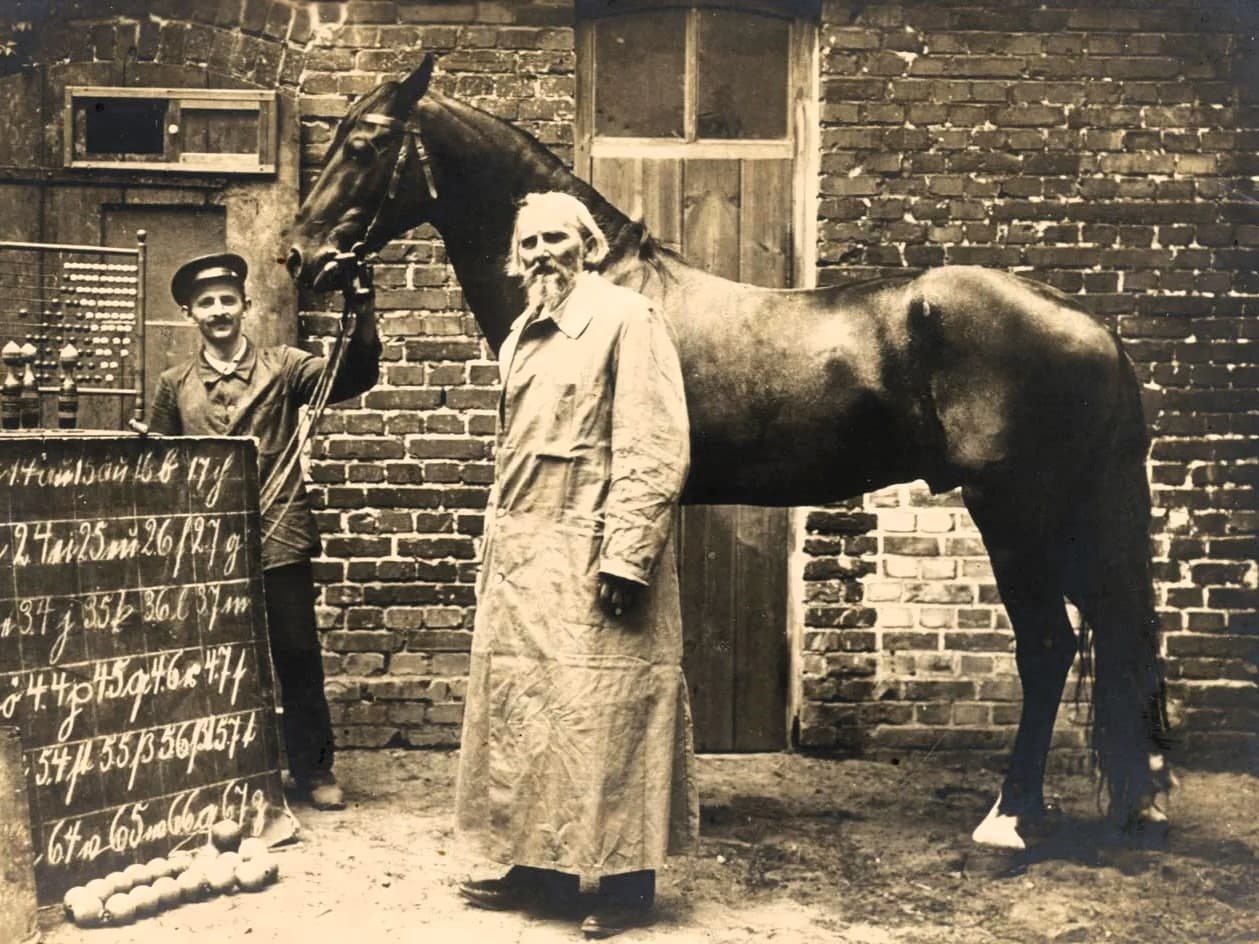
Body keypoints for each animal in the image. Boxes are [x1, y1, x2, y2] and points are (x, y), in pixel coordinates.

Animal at [285, 55, 1174, 850]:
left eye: (364, 143)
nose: (302, 255)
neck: (603, 293)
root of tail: (1088, 324)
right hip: (1068, 518)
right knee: (1114, 630)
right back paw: (1135, 801)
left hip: (1015, 513)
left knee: (1050, 645)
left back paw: (1010, 817)